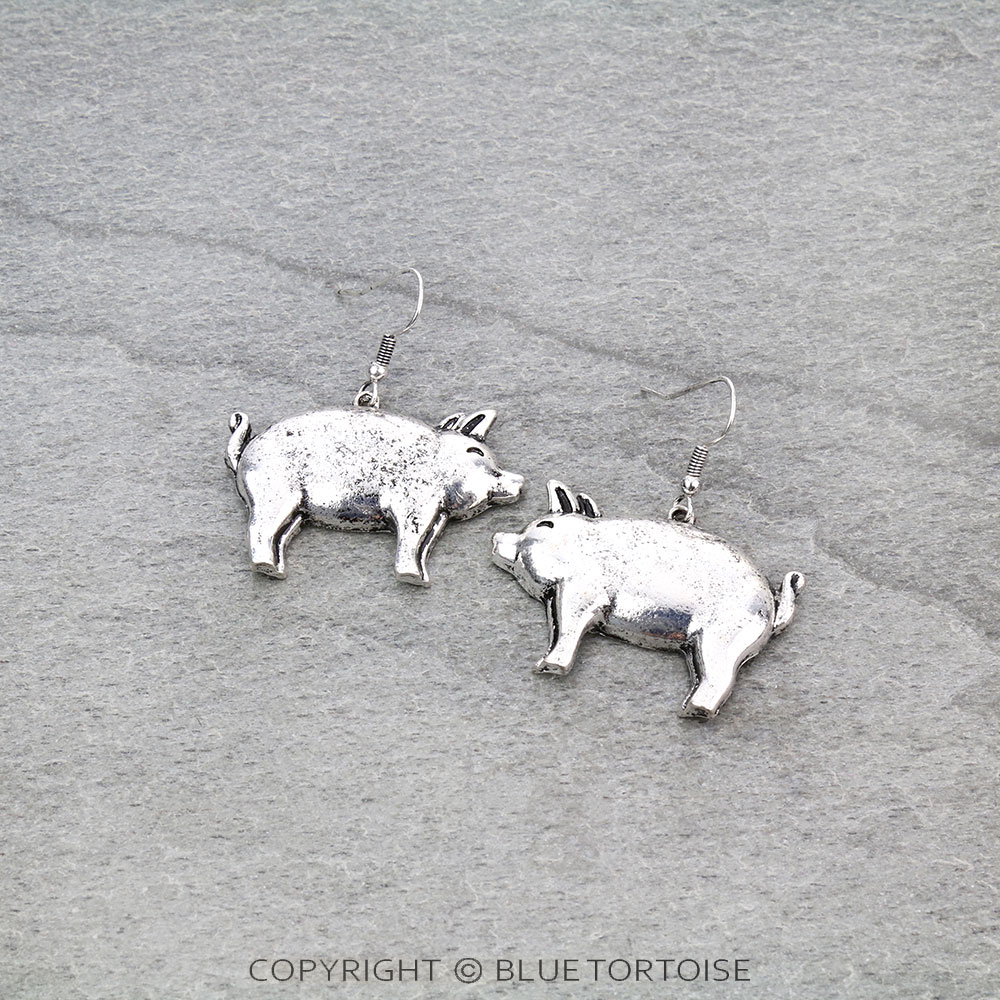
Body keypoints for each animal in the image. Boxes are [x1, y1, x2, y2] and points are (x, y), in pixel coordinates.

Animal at [226, 406, 523, 585]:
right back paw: (268, 568)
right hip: (274, 497)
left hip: (297, 511)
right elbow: (412, 543)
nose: (520, 481)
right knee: (259, 530)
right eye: (476, 452)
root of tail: (246, 451)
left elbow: (424, 545)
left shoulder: (437, 516)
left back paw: (275, 569)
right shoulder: (413, 509)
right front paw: (412, 577)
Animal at [491, 480, 804, 718]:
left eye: (545, 525)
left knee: (719, 678)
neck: (582, 547)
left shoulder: (582, 591)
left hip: (722, 635)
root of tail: (771, 606)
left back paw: (692, 711)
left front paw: (547, 666)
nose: (496, 537)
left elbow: (568, 628)